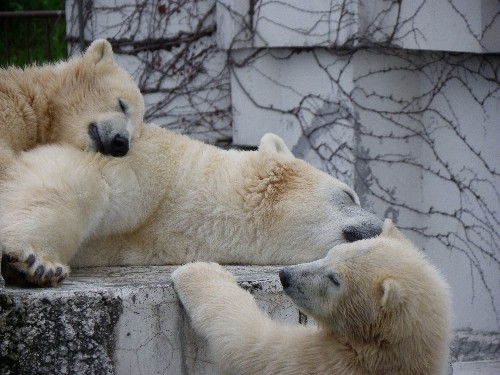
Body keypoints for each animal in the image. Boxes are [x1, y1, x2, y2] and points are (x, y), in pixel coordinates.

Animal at [173, 220, 454, 375]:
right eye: (331, 253)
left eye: (335, 279)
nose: (285, 274)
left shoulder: (322, 362)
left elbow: (249, 344)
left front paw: (197, 270)